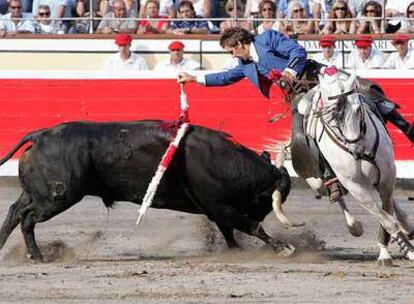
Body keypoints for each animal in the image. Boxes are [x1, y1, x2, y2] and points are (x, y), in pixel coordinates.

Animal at [0, 120, 298, 260]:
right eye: (265, 201)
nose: (259, 212)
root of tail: (41, 135)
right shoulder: (221, 207)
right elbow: (251, 227)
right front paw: (284, 248)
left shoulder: (217, 210)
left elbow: (230, 233)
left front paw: (238, 252)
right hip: (57, 196)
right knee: (27, 218)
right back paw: (36, 256)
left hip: (36, 193)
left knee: (14, 212)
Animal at [298, 66, 414, 264]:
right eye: (332, 117)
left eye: (359, 110)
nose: (357, 150)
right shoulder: (355, 187)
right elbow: (386, 219)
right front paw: (386, 254)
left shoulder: (387, 177)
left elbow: (387, 211)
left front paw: (404, 249)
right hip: (318, 181)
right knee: (337, 195)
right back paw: (354, 225)